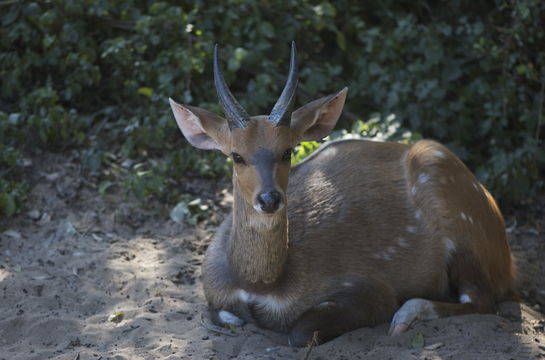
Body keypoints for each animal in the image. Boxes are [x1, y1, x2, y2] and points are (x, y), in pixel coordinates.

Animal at [168, 41, 516, 346]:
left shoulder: (370, 289)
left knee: (483, 301)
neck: (261, 284)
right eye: (236, 155)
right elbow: (221, 314)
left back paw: (405, 318)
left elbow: (301, 331)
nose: (269, 200)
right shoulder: (215, 295)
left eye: (287, 150)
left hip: (462, 232)